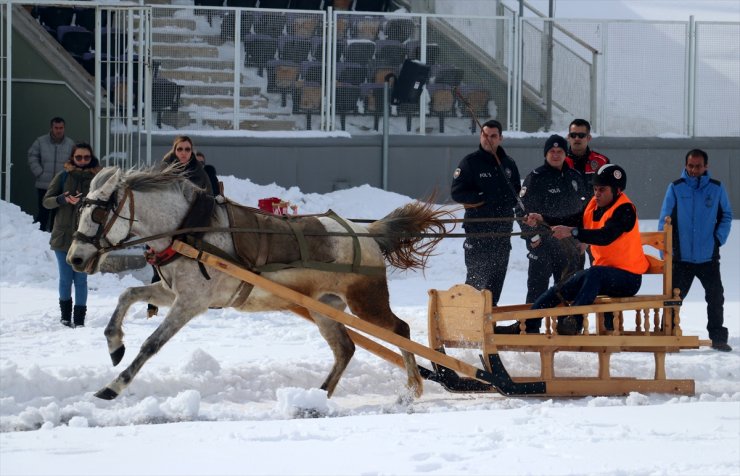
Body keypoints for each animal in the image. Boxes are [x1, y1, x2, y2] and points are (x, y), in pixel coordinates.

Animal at [69, 165, 448, 400]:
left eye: (98, 213)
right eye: (80, 210)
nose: (75, 258)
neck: (191, 229)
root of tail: (367, 233)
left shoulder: (191, 302)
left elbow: (151, 344)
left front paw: (114, 386)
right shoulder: (169, 292)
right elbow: (127, 294)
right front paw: (114, 344)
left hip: (365, 301)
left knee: (399, 332)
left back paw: (412, 390)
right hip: (326, 306)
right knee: (345, 348)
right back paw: (318, 396)